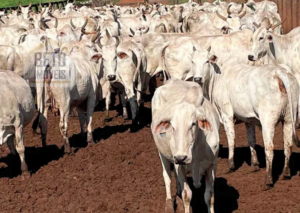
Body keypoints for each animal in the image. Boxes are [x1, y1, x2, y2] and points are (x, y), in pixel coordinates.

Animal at [151, 79, 219, 213]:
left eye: (193, 123)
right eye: (172, 126)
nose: (181, 158)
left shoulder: (212, 166)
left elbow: (209, 197)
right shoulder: (179, 166)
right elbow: (187, 195)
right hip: (162, 153)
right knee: (167, 176)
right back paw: (169, 204)